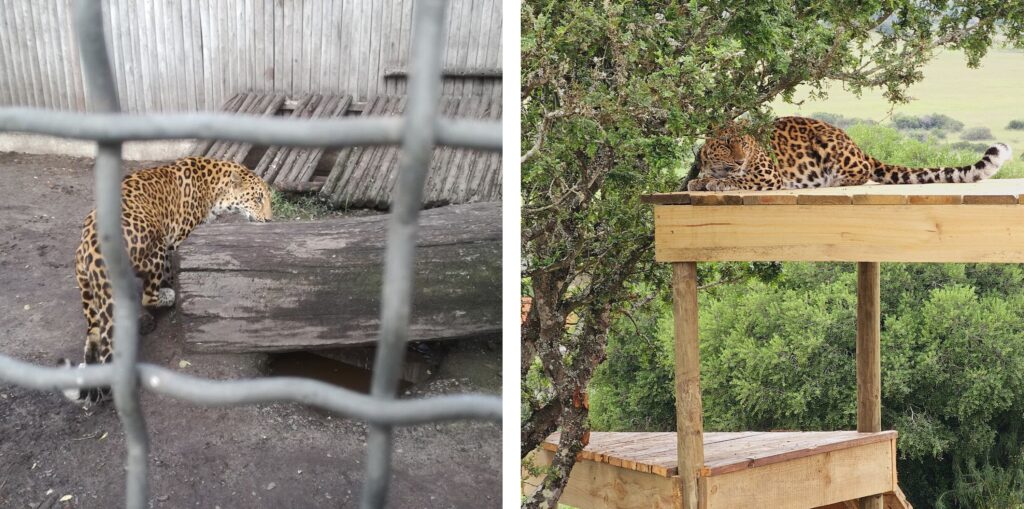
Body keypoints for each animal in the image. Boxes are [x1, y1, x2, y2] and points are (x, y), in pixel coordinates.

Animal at [61, 156, 272, 403]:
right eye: (257, 199)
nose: (269, 220)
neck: (214, 188)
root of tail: (93, 248)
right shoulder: (178, 241)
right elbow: (174, 270)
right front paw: (175, 288)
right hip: (157, 247)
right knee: (147, 296)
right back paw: (167, 297)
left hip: (87, 289)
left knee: (94, 335)